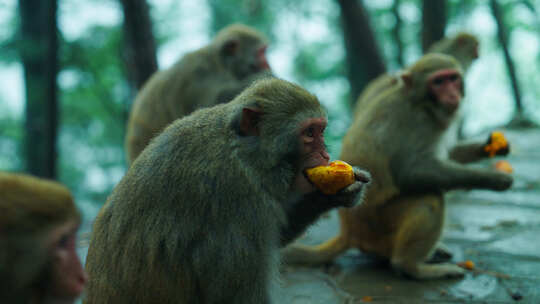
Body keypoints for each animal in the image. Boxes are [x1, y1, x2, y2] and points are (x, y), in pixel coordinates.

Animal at [84, 77, 372, 302]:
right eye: (310, 133)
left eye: (321, 130)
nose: (325, 155)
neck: (242, 154)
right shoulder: (236, 201)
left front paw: (334, 195)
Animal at [282, 54, 516, 280]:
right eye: (438, 82)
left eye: (453, 78)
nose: (452, 94)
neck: (421, 103)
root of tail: (350, 232)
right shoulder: (418, 122)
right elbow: (410, 172)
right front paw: (494, 179)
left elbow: (448, 154)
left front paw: (490, 147)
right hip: (379, 227)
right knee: (429, 198)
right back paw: (412, 267)